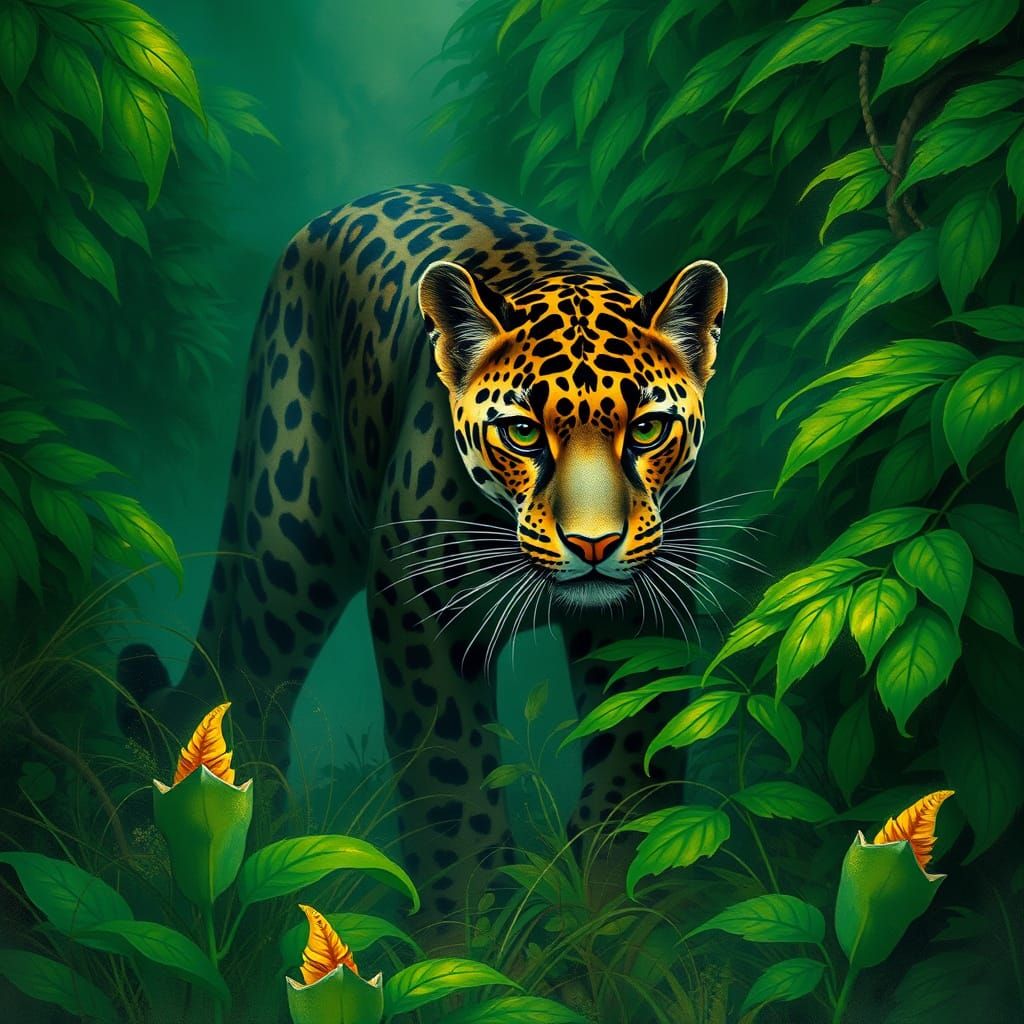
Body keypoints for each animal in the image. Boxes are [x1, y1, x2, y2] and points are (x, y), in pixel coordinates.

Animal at [119, 183, 727, 929]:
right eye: (522, 433)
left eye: (646, 429)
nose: (593, 544)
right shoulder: (421, 608)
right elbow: (451, 781)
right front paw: (468, 933)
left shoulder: (644, 617)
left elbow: (634, 760)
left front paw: (619, 914)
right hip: (286, 536)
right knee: (250, 680)